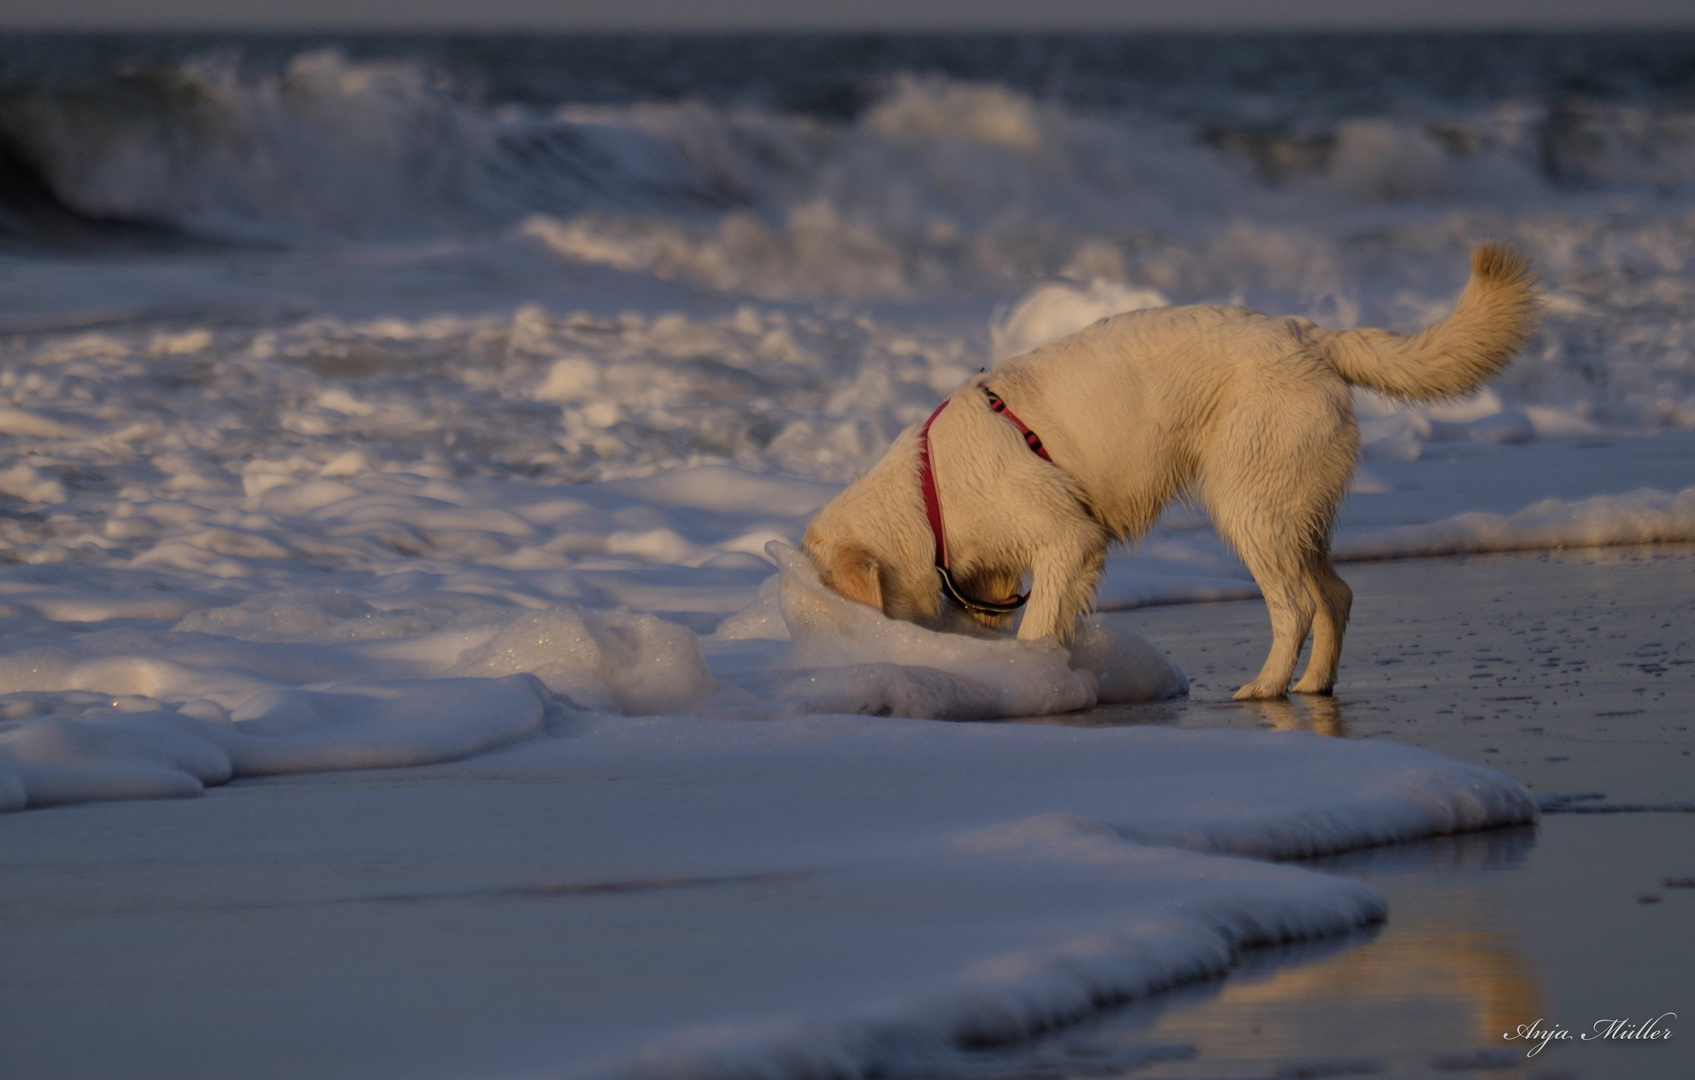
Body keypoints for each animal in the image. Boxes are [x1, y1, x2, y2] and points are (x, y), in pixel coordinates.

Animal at [800, 242, 1545, 698]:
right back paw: (1312, 684)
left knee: (1297, 604)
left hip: (1248, 504)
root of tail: (1307, 335)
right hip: (1293, 509)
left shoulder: (1068, 540)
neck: (929, 493)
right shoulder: (995, 573)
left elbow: (1040, 624)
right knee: (1335, 594)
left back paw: (1266, 687)